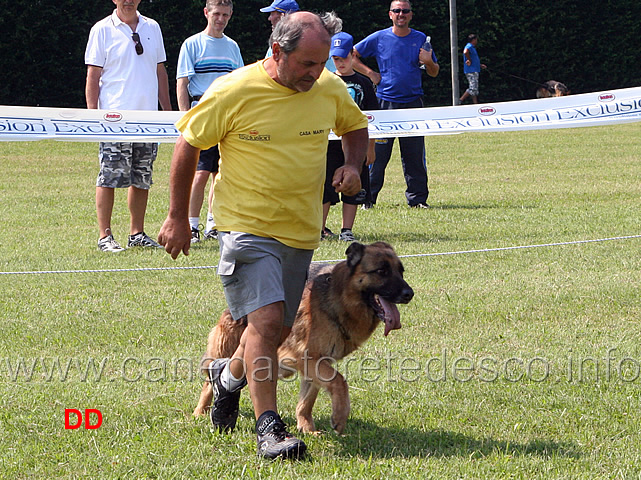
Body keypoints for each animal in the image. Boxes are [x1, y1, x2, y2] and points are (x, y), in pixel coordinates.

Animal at [192, 242, 412, 434]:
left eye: (400, 271)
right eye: (381, 271)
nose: (409, 294)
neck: (340, 298)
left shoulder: (317, 362)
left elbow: (307, 399)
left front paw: (306, 428)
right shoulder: (303, 357)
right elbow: (339, 380)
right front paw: (340, 416)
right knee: (210, 381)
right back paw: (201, 411)